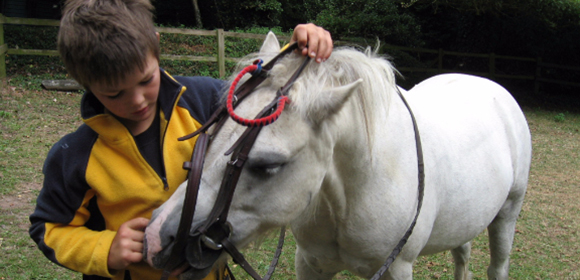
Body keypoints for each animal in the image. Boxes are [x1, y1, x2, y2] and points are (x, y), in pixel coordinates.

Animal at [144, 33, 532, 280]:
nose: (157, 237)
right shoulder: (310, 263)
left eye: (268, 165)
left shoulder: (396, 268)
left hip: (507, 213)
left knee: (497, 266)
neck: (354, 192)